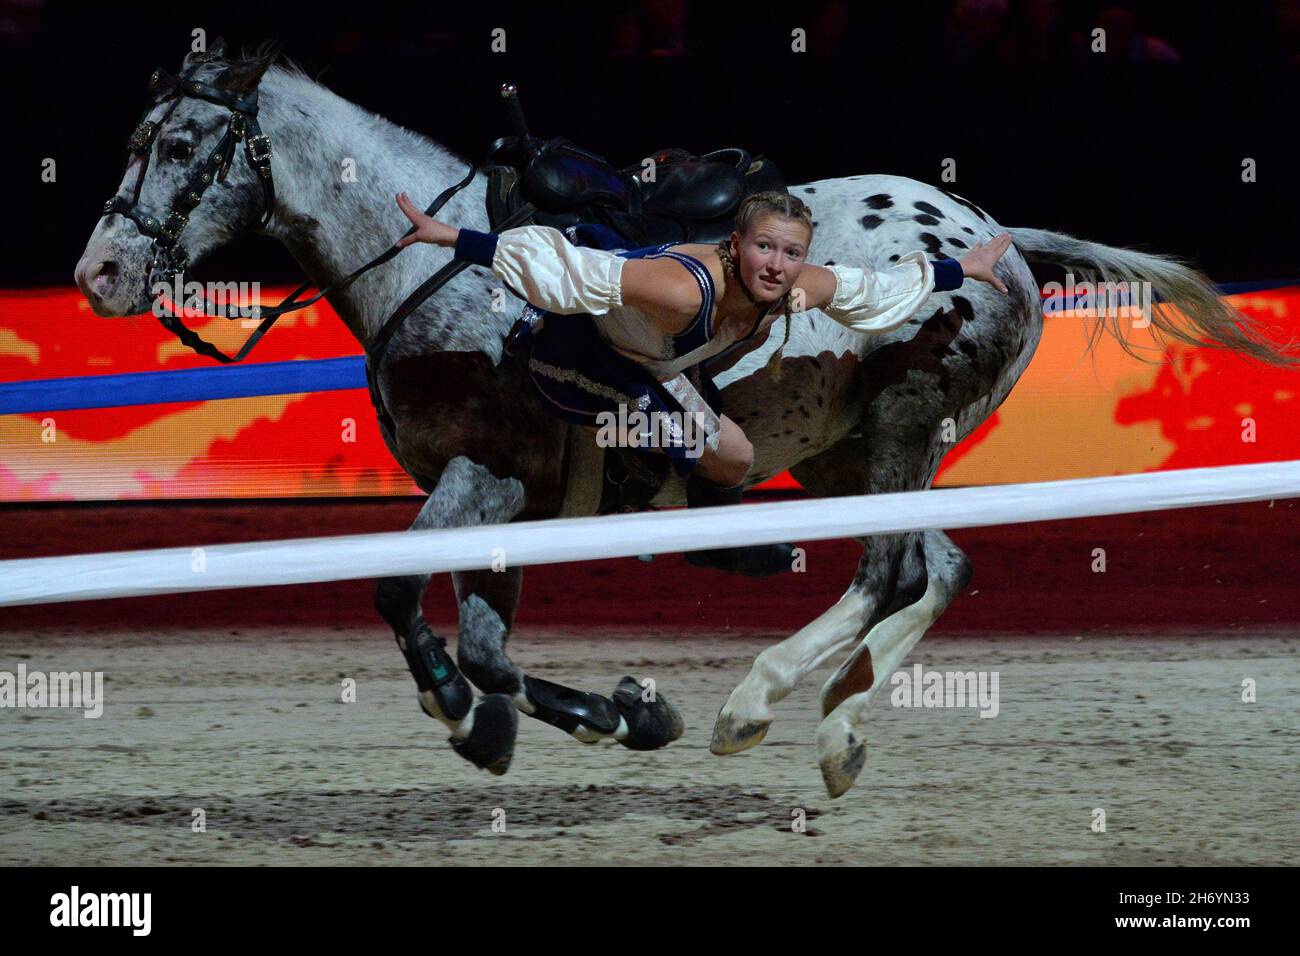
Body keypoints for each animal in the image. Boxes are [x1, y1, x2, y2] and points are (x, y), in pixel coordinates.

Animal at [76, 41, 1294, 796]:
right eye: (136, 139)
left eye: (178, 147)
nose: (99, 273)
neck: (451, 276)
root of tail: (992, 237)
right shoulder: (513, 499)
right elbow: (484, 641)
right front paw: (556, 717)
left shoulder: (491, 472)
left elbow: (421, 613)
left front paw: (523, 713)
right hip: (849, 455)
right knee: (938, 568)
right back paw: (837, 727)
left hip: (902, 420)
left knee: (886, 569)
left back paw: (753, 701)